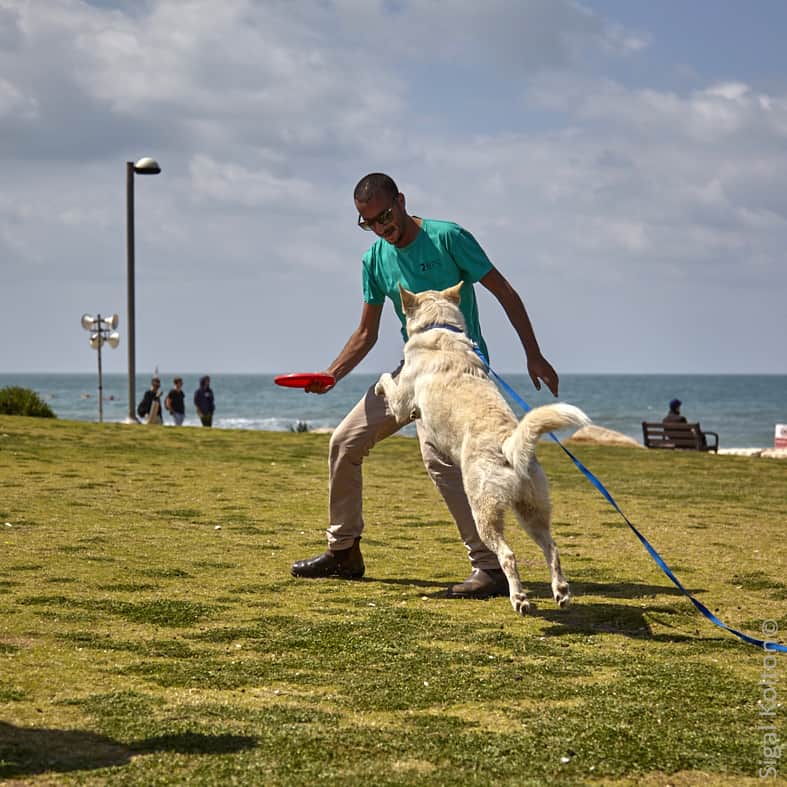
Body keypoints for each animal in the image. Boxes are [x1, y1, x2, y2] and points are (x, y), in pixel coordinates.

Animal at [378, 282, 592, 616]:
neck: (439, 327)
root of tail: (509, 443)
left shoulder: (401, 404)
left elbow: (387, 381)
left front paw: (380, 384)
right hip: (532, 510)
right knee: (552, 548)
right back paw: (560, 592)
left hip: (484, 510)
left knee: (508, 555)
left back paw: (520, 599)